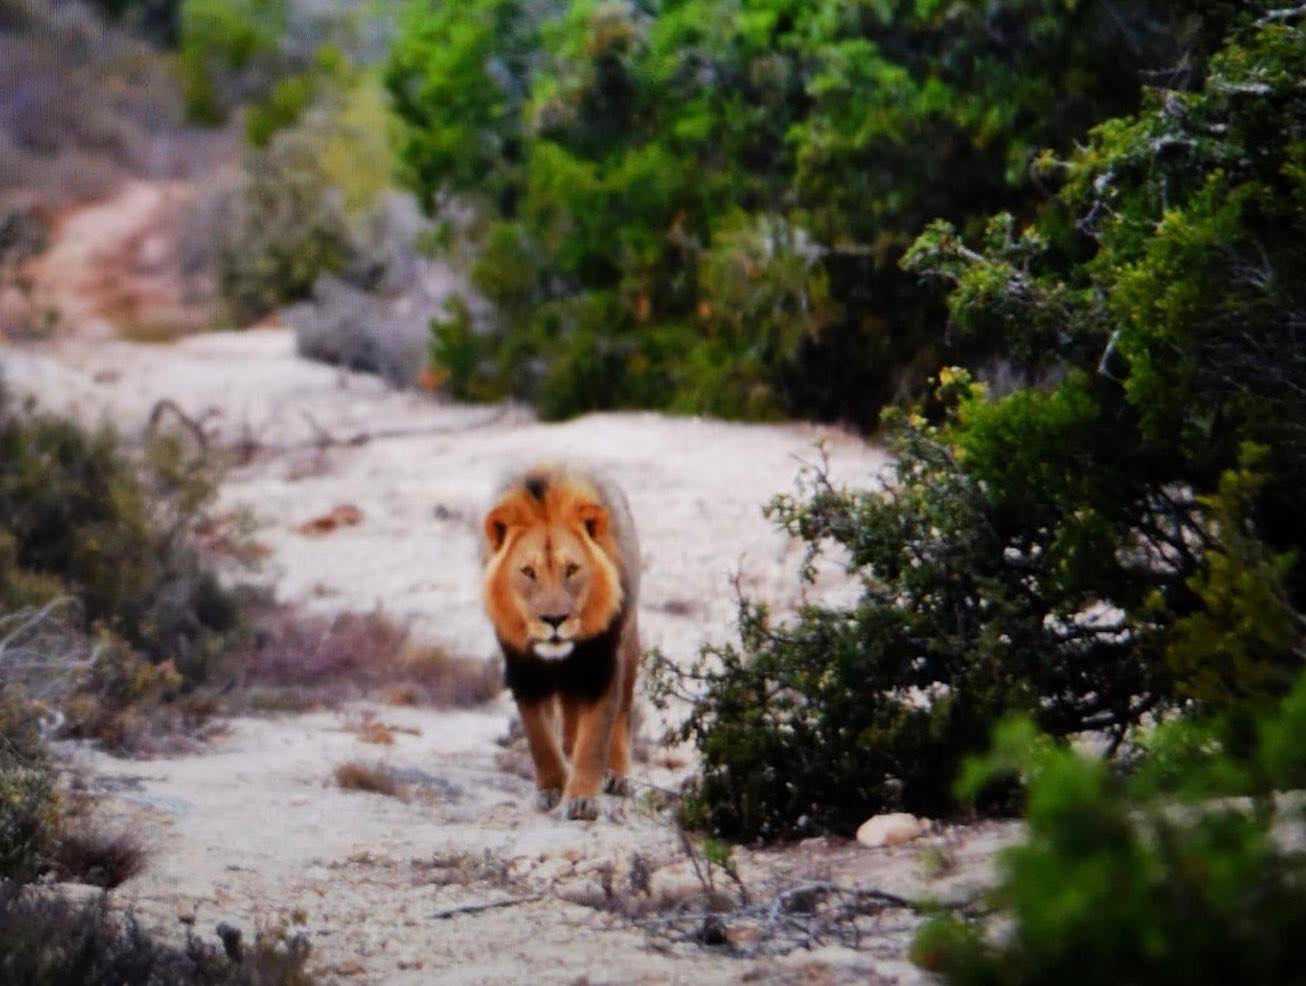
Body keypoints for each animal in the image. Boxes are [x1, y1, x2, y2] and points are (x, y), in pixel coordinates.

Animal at [483, 467, 639, 820]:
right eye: (528, 572)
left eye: (572, 569)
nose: (554, 619)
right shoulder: (523, 672)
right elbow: (540, 737)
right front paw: (552, 789)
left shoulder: (601, 665)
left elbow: (594, 739)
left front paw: (581, 800)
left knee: (622, 715)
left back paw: (617, 775)